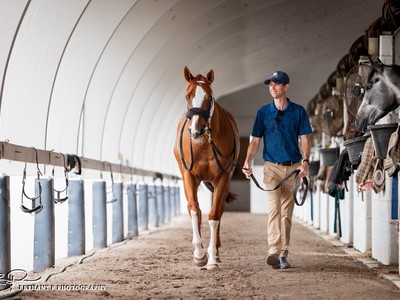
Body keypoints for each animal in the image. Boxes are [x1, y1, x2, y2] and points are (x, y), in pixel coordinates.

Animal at [173, 67, 239, 268]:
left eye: (209, 97)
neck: (202, 145)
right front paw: (199, 254)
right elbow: (194, 209)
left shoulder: (222, 178)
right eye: (187, 96)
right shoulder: (189, 176)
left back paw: (215, 252)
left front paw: (211, 258)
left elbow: (214, 215)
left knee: (218, 212)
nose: (197, 130)